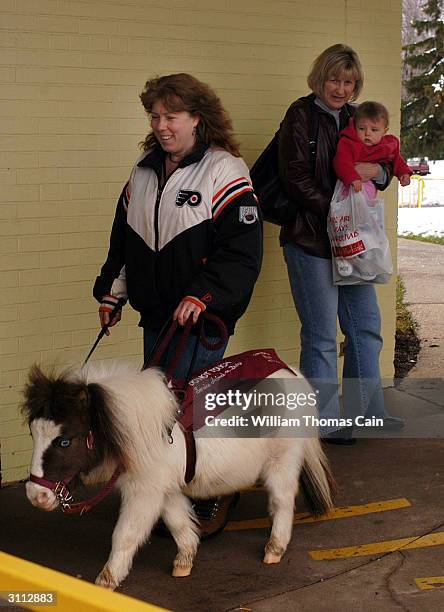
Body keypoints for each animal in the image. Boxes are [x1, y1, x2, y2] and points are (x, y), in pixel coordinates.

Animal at [22, 360, 332, 592]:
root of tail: (292, 372)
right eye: (32, 434)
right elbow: (178, 523)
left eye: (64, 441)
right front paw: (184, 562)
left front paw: (105, 582)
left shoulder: (144, 491)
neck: (135, 429)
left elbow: (125, 534)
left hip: (282, 461)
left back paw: (274, 550)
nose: (36, 496)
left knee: (282, 503)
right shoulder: (165, 490)